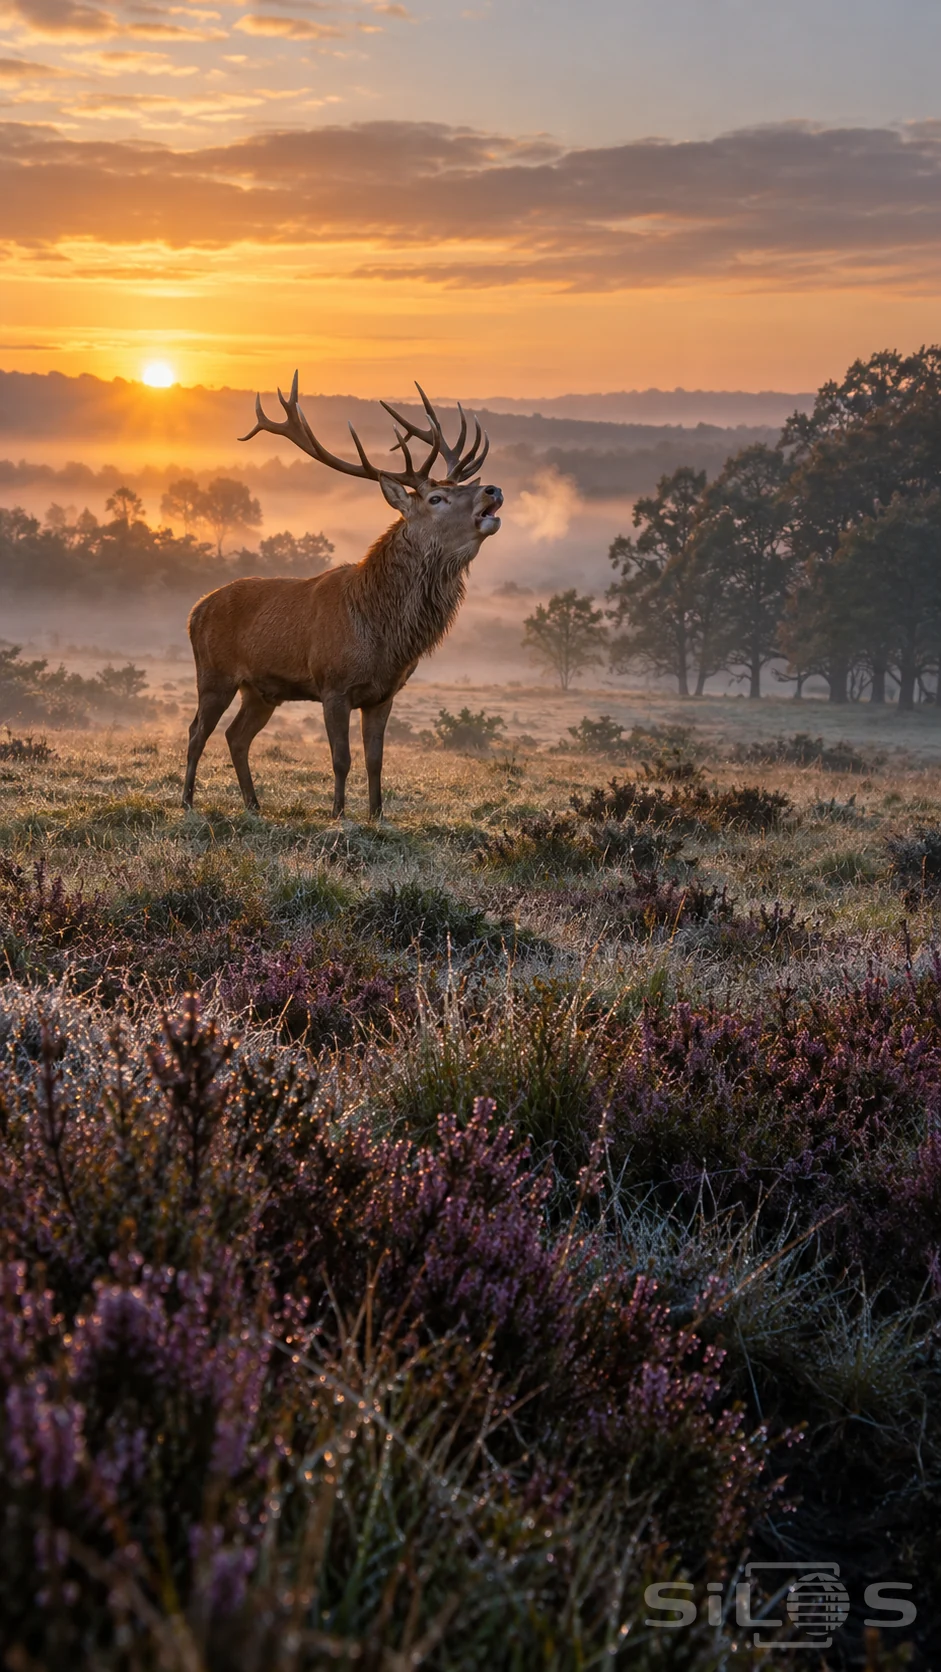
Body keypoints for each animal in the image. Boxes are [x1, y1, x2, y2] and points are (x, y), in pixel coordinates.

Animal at [182, 374, 503, 819]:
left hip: (260, 691)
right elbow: (341, 758)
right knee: (197, 731)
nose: (492, 489)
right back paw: (187, 801)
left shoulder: (384, 693)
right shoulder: (332, 684)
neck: (383, 635)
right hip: (214, 674)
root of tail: (195, 610)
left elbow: (375, 759)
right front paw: (337, 813)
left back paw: (253, 804)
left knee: (236, 736)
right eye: (436, 498)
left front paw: (377, 815)